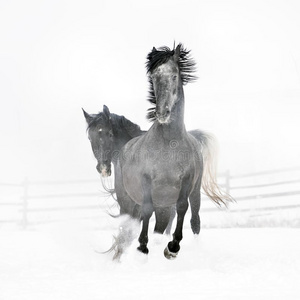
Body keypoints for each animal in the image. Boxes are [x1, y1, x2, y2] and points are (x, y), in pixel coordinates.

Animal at [113, 44, 232, 258]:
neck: (170, 145)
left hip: (191, 194)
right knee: (128, 228)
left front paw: (173, 247)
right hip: (127, 201)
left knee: (194, 220)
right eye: (153, 77)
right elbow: (146, 211)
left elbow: (183, 208)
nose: (162, 113)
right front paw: (143, 247)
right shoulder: (146, 180)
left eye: (174, 76)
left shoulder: (186, 181)